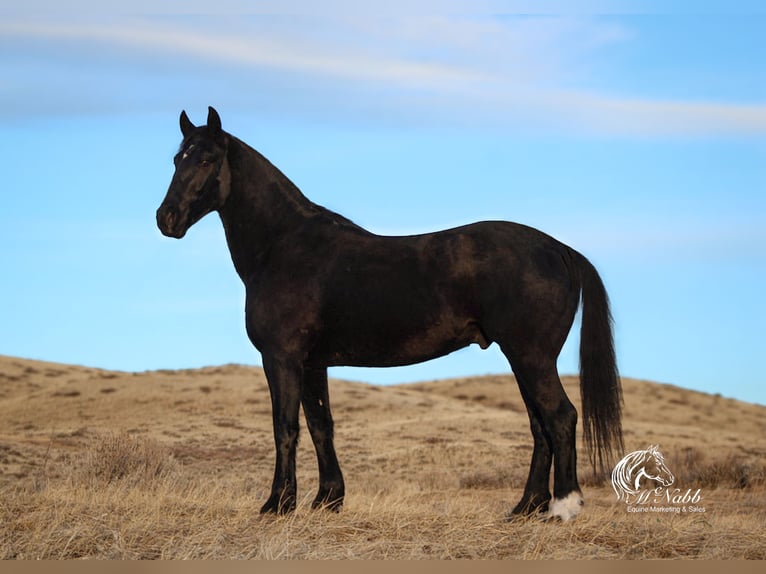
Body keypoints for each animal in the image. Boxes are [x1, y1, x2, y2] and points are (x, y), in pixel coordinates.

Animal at [156, 107, 624, 520]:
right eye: (178, 158)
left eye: (206, 159)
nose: (166, 219)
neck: (285, 247)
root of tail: (560, 250)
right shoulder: (313, 363)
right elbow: (321, 425)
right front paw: (327, 501)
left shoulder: (281, 358)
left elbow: (284, 427)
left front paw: (278, 505)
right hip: (524, 358)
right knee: (539, 426)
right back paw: (526, 508)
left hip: (530, 356)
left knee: (560, 417)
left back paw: (562, 508)